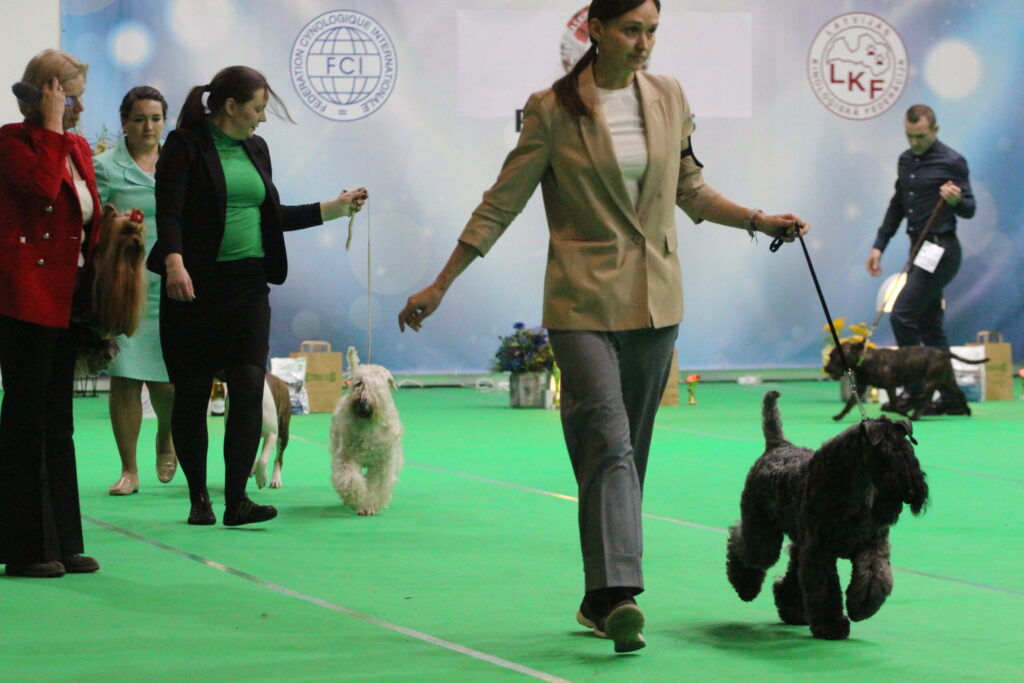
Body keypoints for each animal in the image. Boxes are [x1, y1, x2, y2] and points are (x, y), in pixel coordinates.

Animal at [329, 347, 403, 515]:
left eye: (378, 387)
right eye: (359, 383)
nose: (362, 400)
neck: (369, 427)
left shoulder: (381, 463)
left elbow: (376, 486)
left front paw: (369, 505)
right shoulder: (346, 457)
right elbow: (349, 479)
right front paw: (356, 498)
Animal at [726, 391, 928, 640]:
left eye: (910, 451)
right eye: (885, 456)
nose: (911, 492)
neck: (851, 486)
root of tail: (776, 445)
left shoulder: (872, 545)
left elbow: (874, 576)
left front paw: (862, 607)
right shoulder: (820, 550)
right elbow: (825, 588)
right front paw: (831, 625)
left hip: (798, 542)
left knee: (792, 573)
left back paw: (792, 610)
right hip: (762, 533)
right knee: (741, 542)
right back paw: (746, 587)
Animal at [825, 341, 987, 421]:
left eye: (834, 356)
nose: (826, 368)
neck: (863, 360)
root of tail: (944, 353)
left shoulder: (890, 387)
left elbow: (894, 404)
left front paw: (904, 413)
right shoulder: (860, 387)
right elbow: (850, 403)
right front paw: (839, 416)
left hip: (931, 382)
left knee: (925, 400)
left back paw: (915, 416)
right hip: (946, 381)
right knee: (959, 393)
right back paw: (967, 411)